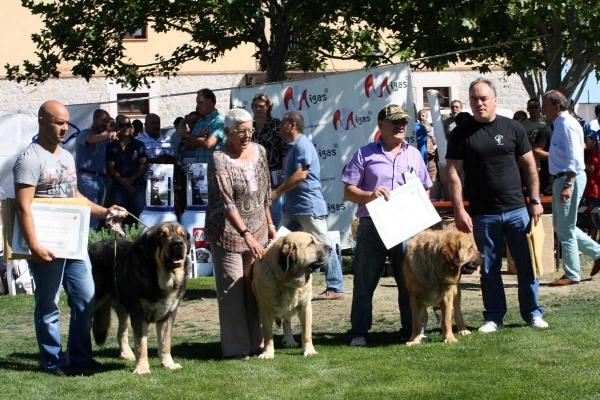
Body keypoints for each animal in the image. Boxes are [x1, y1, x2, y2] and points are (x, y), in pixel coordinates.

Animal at [88, 222, 190, 372]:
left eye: (182, 235)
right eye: (163, 236)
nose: (178, 243)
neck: (162, 279)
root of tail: (93, 247)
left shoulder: (168, 315)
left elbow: (165, 342)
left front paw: (168, 364)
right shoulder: (139, 314)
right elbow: (141, 343)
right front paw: (142, 368)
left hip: (123, 309)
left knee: (121, 332)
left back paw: (126, 353)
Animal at [251, 231, 330, 360]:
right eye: (311, 243)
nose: (331, 248)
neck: (288, 281)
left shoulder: (305, 307)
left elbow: (306, 332)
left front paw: (309, 351)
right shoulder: (265, 310)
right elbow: (268, 335)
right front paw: (267, 353)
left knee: (286, 321)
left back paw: (289, 340)